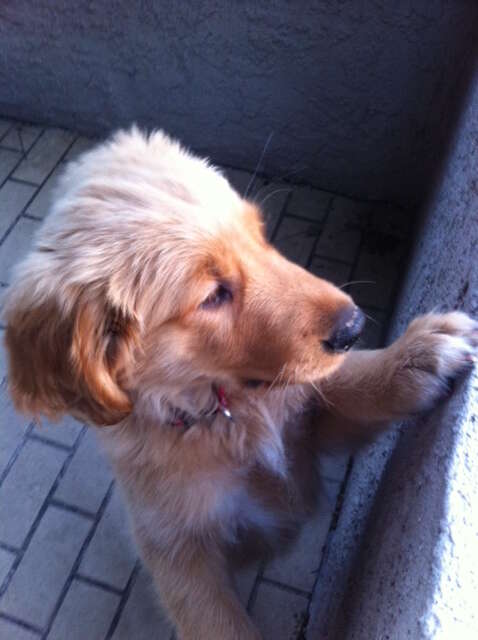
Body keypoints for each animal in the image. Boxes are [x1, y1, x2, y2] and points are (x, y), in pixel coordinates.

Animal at [3, 127, 478, 636]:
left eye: (261, 236)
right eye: (213, 296)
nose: (353, 326)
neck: (221, 414)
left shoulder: (305, 424)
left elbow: (346, 381)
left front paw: (415, 358)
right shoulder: (177, 551)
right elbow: (219, 622)